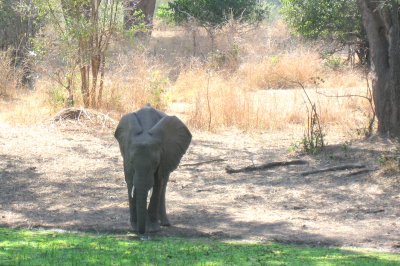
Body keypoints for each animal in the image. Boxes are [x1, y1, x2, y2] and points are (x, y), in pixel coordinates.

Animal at [114, 105, 192, 234]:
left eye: (155, 163)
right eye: (131, 161)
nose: (141, 232)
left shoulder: (165, 156)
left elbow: (157, 183)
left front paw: (152, 228)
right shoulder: (126, 153)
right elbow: (130, 182)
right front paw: (135, 227)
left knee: (163, 183)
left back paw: (164, 223)